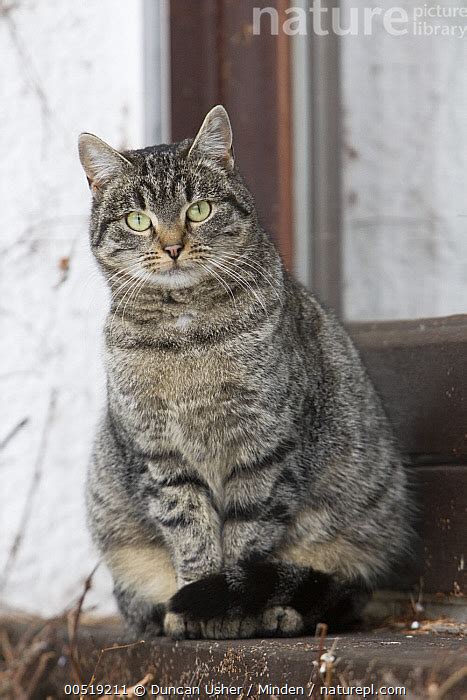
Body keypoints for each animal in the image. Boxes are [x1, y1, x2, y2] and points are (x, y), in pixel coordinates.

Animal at [78, 105, 412, 640]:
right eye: (138, 220)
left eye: (198, 210)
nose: (173, 247)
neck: (186, 334)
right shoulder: (161, 456)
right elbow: (190, 531)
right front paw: (193, 604)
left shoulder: (265, 450)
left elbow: (247, 539)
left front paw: (227, 608)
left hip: (360, 537)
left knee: (335, 594)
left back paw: (282, 611)